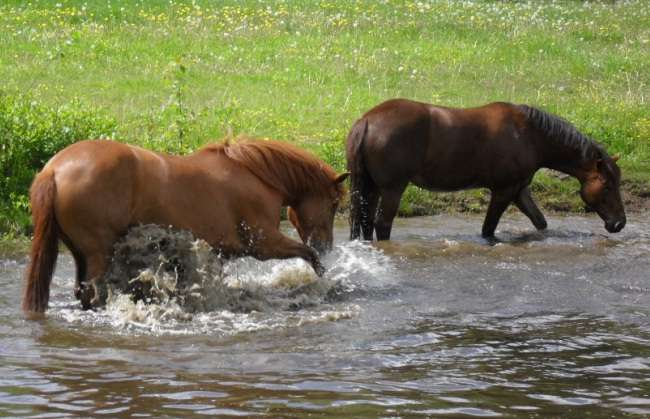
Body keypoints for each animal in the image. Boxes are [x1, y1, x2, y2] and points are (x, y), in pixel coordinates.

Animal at [24, 139, 350, 314]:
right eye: (334, 203)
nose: (327, 245)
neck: (255, 175)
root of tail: (54, 170)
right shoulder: (264, 244)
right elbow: (308, 255)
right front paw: (325, 279)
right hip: (98, 254)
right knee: (93, 295)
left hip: (81, 253)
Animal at [346, 99, 624, 241]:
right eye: (608, 185)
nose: (619, 223)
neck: (529, 135)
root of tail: (367, 121)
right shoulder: (504, 190)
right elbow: (488, 229)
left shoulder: (519, 190)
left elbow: (540, 222)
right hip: (393, 188)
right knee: (382, 225)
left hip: (370, 187)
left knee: (364, 222)